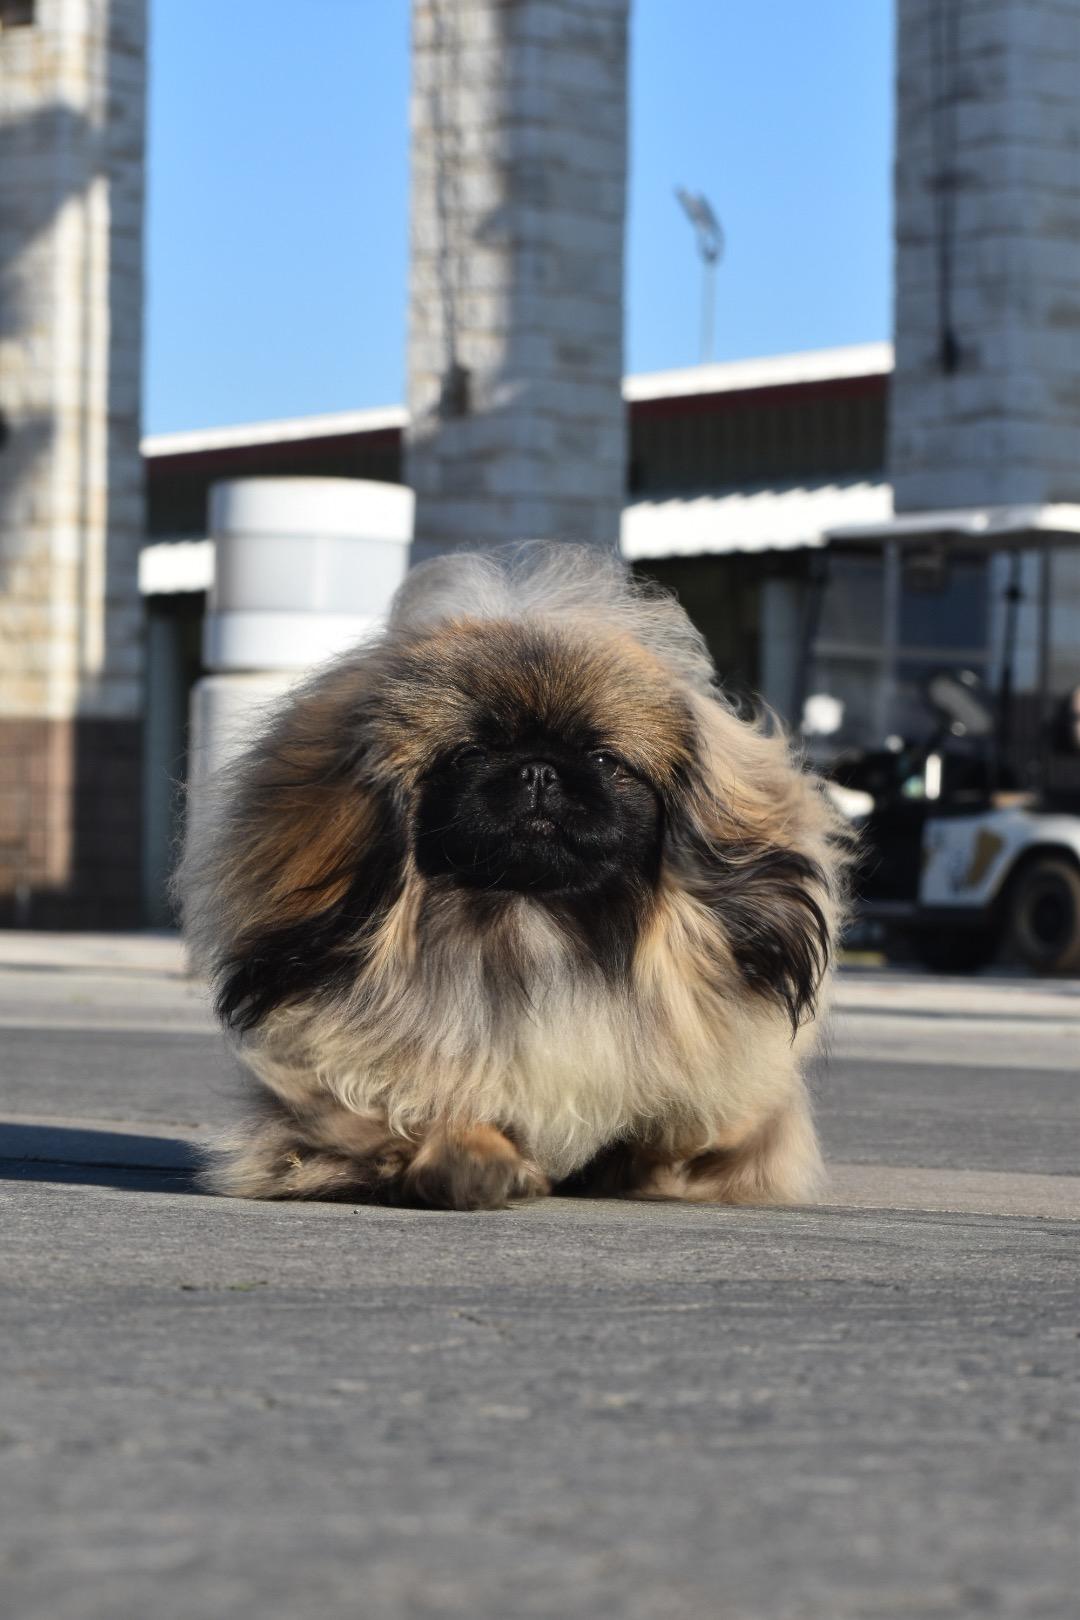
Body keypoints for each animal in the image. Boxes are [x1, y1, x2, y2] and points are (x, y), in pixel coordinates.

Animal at [177, 544, 848, 1209]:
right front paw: (476, 1163)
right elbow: (416, 1116)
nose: (539, 770)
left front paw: (647, 1157)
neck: (531, 920)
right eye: (470, 754)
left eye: (603, 759)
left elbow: (698, 1126)